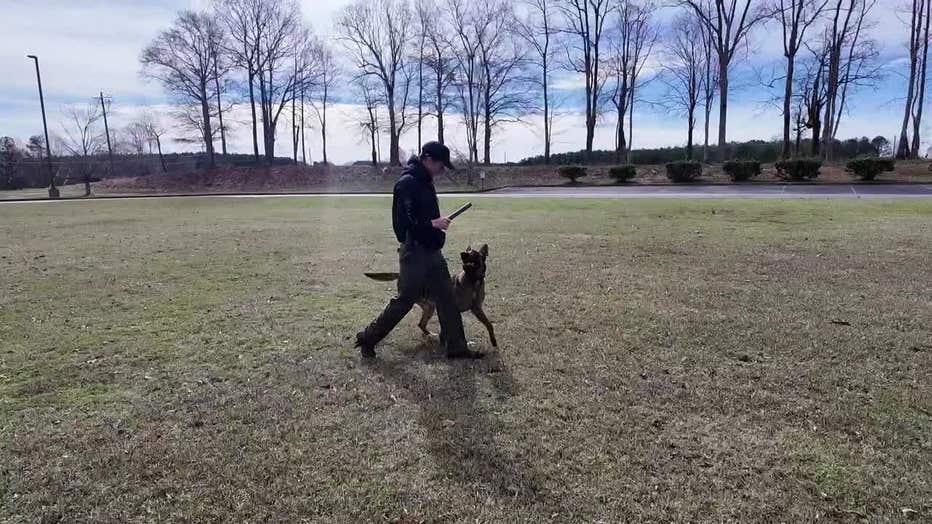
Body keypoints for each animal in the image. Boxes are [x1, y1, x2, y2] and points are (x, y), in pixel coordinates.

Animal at [364, 245, 498, 348]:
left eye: (473, 253)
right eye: (467, 251)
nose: (462, 254)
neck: (472, 280)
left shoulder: (477, 309)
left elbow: (489, 325)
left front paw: (493, 341)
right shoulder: (451, 310)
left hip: (430, 307)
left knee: (421, 324)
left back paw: (431, 336)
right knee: (422, 324)